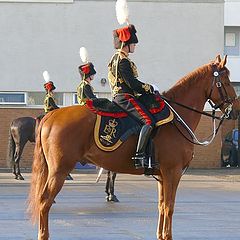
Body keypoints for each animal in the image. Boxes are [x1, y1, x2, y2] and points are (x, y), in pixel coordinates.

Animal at [27, 55, 238, 239]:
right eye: (227, 82)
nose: (235, 110)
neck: (177, 118)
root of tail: (50, 116)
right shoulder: (173, 172)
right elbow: (169, 206)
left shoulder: (162, 175)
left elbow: (161, 205)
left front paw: (160, 235)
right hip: (59, 170)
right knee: (44, 201)